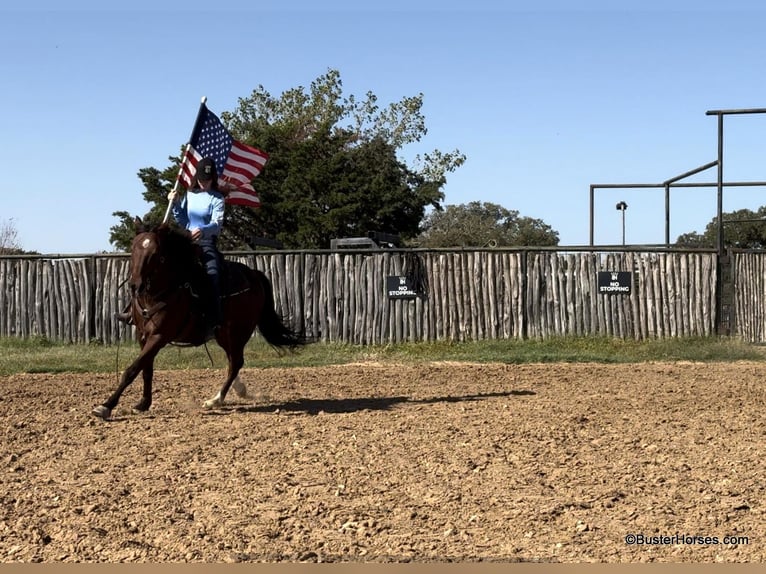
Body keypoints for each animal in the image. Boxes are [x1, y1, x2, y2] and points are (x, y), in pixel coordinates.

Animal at [90, 218, 306, 420]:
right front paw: (143, 403)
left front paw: (105, 406)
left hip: (238, 333)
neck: (161, 292)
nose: (136, 285)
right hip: (224, 335)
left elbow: (132, 369)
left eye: (156, 254)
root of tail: (254, 274)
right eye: (133, 248)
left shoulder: (159, 336)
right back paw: (235, 391)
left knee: (236, 363)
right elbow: (146, 369)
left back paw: (215, 400)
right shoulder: (143, 335)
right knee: (233, 362)